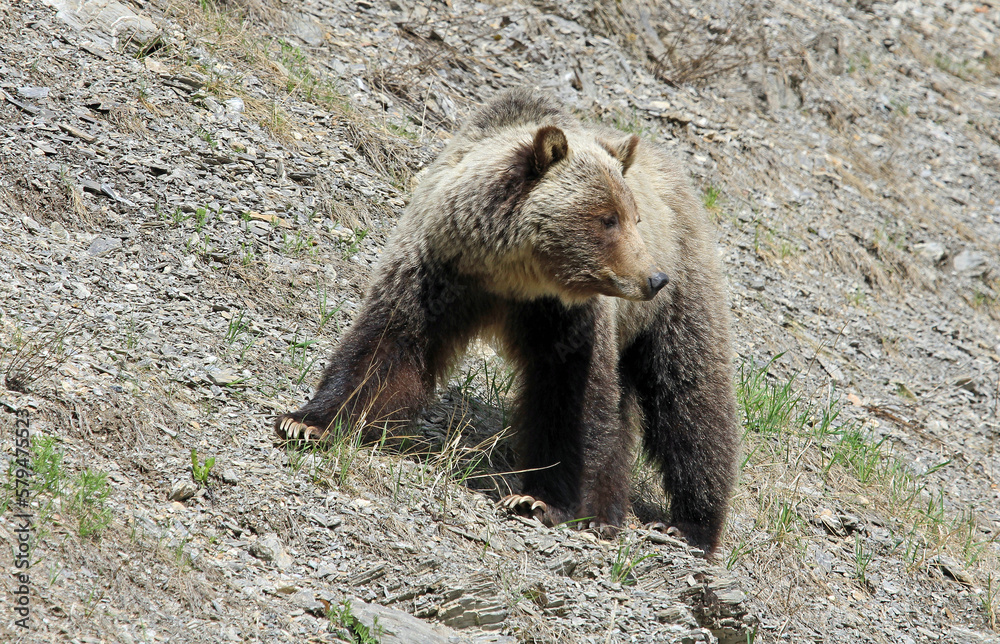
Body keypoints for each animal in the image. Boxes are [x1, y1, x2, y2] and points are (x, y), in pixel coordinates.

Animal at [275, 88, 740, 555]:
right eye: (607, 218)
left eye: (634, 217)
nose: (654, 278)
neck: (510, 274)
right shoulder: (437, 272)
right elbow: (387, 345)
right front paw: (307, 423)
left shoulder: (567, 317)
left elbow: (571, 400)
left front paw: (539, 499)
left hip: (682, 294)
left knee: (690, 401)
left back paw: (686, 523)